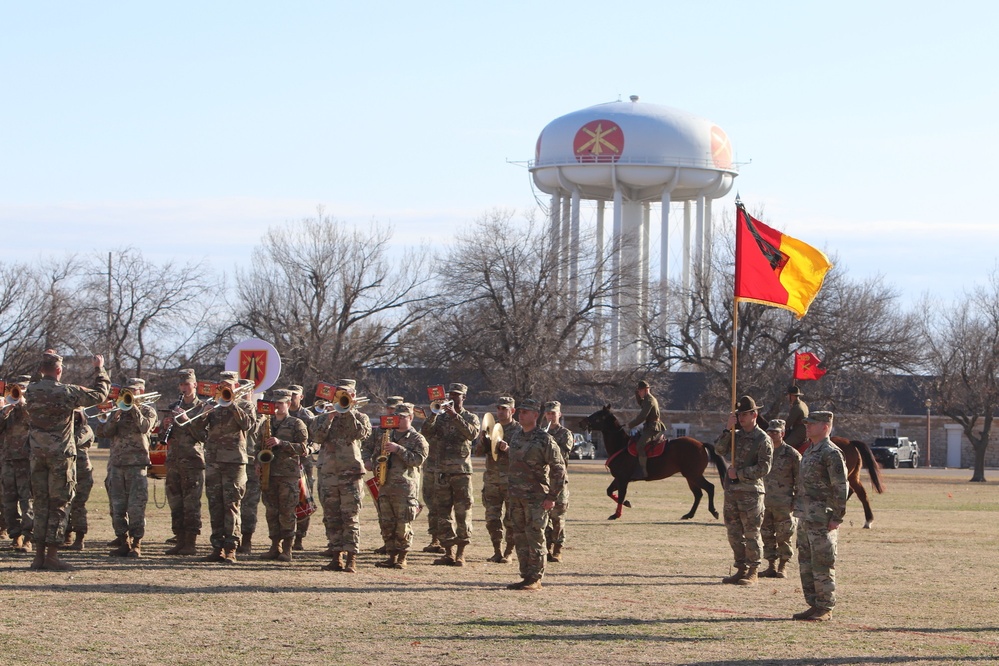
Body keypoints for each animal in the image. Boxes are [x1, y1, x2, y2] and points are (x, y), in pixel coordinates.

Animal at [580, 404, 728, 520]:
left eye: (598, 415)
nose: (582, 421)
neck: (621, 445)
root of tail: (700, 444)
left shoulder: (623, 479)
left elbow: (620, 496)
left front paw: (617, 514)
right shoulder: (619, 478)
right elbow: (609, 491)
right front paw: (627, 503)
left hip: (694, 475)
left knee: (710, 488)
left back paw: (713, 511)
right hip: (690, 476)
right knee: (698, 494)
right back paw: (689, 514)